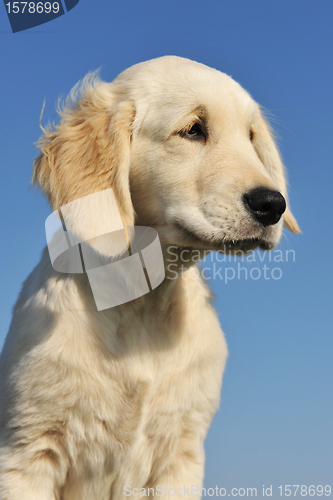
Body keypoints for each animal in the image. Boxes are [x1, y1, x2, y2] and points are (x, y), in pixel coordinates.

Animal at [0, 55, 300, 500]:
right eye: (193, 129)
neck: (142, 300)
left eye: (251, 137)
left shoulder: (181, 455)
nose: (273, 205)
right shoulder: (26, 450)